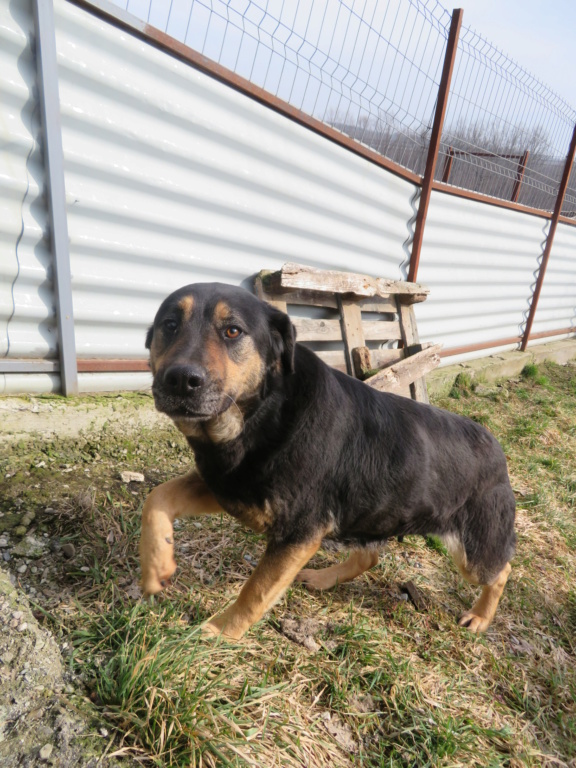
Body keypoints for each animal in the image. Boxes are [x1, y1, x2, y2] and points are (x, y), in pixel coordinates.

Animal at [141, 280, 516, 636]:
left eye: (233, 331)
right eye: (169, 325)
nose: (180, 380)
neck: (262, 413)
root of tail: (496, 448)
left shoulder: (298, 532)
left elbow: (256, 591)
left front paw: (220, 632)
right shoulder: (227, 486)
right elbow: (156, 497)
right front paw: (156, 566)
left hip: (473, 552)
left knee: (502, 571)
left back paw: (480, 618)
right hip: (373, 513)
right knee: (370, 556)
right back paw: (323, 578)